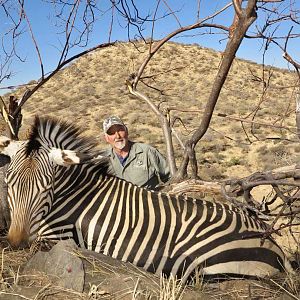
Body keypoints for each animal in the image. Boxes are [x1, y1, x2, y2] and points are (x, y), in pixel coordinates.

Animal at [0, 116, 292, 282]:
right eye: (8, 183)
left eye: (47, 187)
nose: (16, 241)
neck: (72, 196)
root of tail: (274, 244)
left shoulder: (58, 238)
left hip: (209, 262)